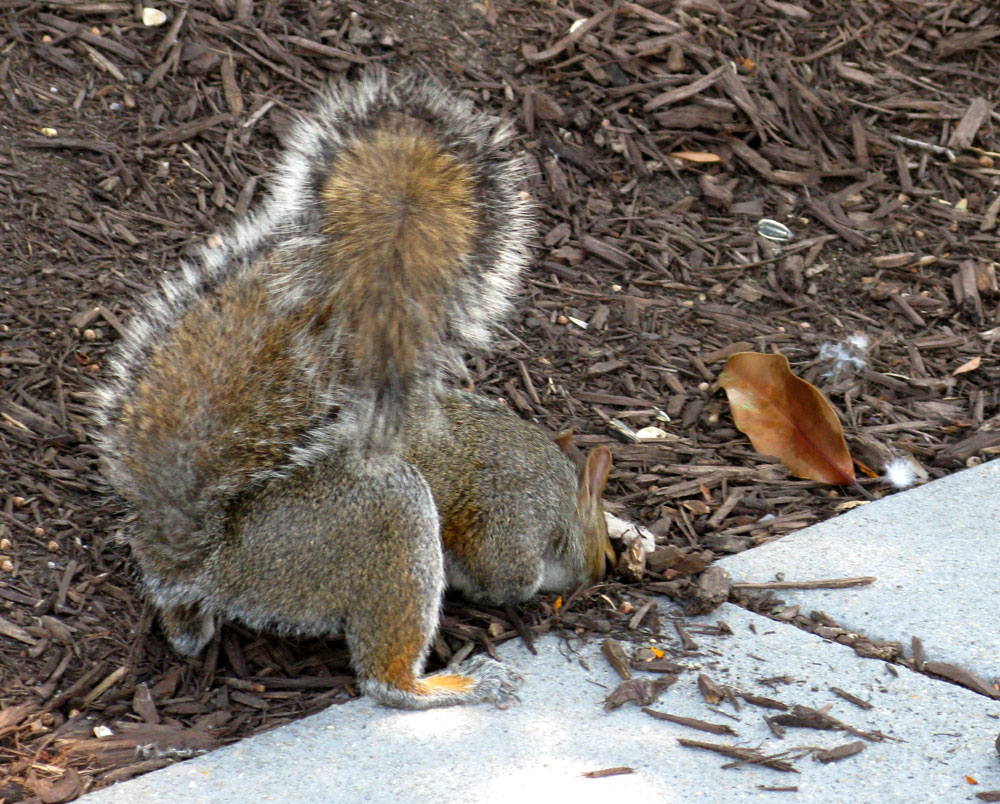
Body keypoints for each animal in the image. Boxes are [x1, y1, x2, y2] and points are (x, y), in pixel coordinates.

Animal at [93, 70, 611, 710]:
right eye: (600, 550)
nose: (601, 575)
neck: (562, 491)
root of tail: (213, 561)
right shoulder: (515, 512)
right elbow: (504, 575)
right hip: (387, 523)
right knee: (385, 678)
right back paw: (455, 684)